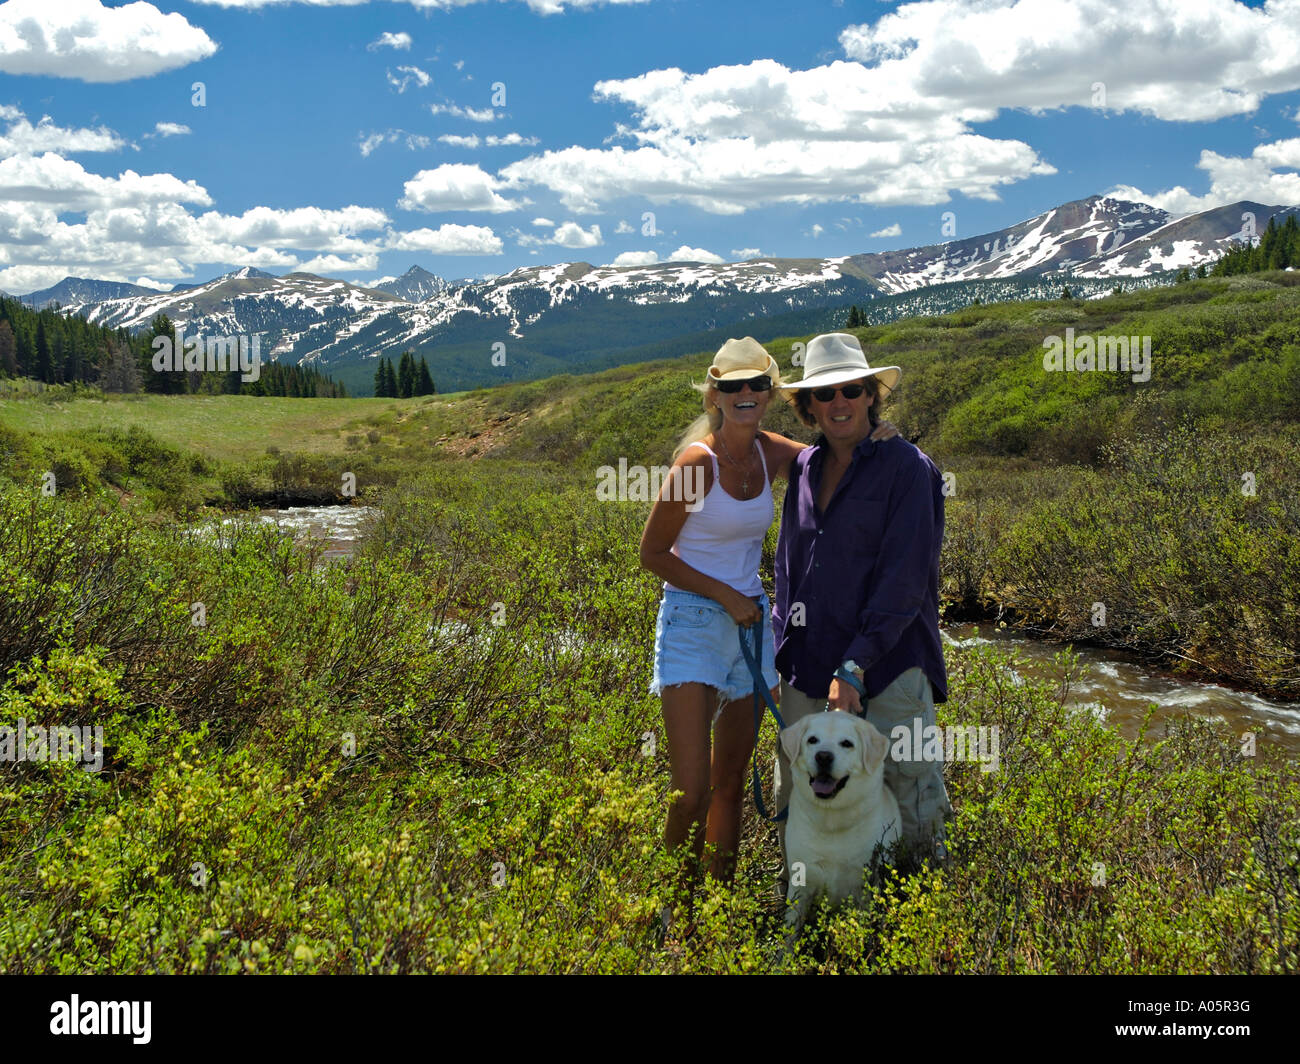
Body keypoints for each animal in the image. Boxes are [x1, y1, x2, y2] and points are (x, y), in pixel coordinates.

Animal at [774, 707, 899, 931]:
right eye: (812, 740)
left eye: (847, 743)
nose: (823, 756)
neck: (831, 819)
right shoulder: (801, 881)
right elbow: (792, 927)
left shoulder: (865, 884)